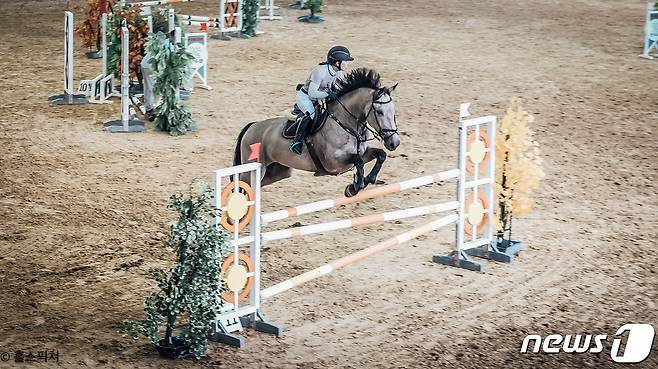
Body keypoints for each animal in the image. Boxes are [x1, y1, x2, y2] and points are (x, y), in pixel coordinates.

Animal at [234, 68, 400, 197]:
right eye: (379, 112)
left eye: (393, 111)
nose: (395, 143)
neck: (346, 124)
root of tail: (252, 126)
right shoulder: (333, 162)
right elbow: (358, 161)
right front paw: (354, 187)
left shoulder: (363, 154)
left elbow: (380, 155)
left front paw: (362, 182)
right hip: (254, 168)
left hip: (278, 171)